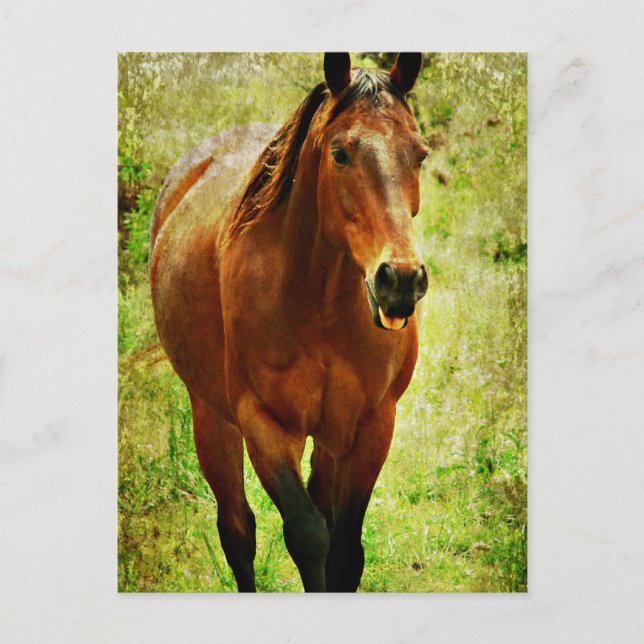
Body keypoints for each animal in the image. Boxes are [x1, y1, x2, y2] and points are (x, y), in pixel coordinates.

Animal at [149, 52, 429, 592]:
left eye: (420, 154)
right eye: (340, 153)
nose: (401, 280)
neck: (319, 302)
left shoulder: (372, 425)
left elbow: (344, 550)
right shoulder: (264, 423)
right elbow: (308, 535)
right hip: (210, 416)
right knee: (237, 531)